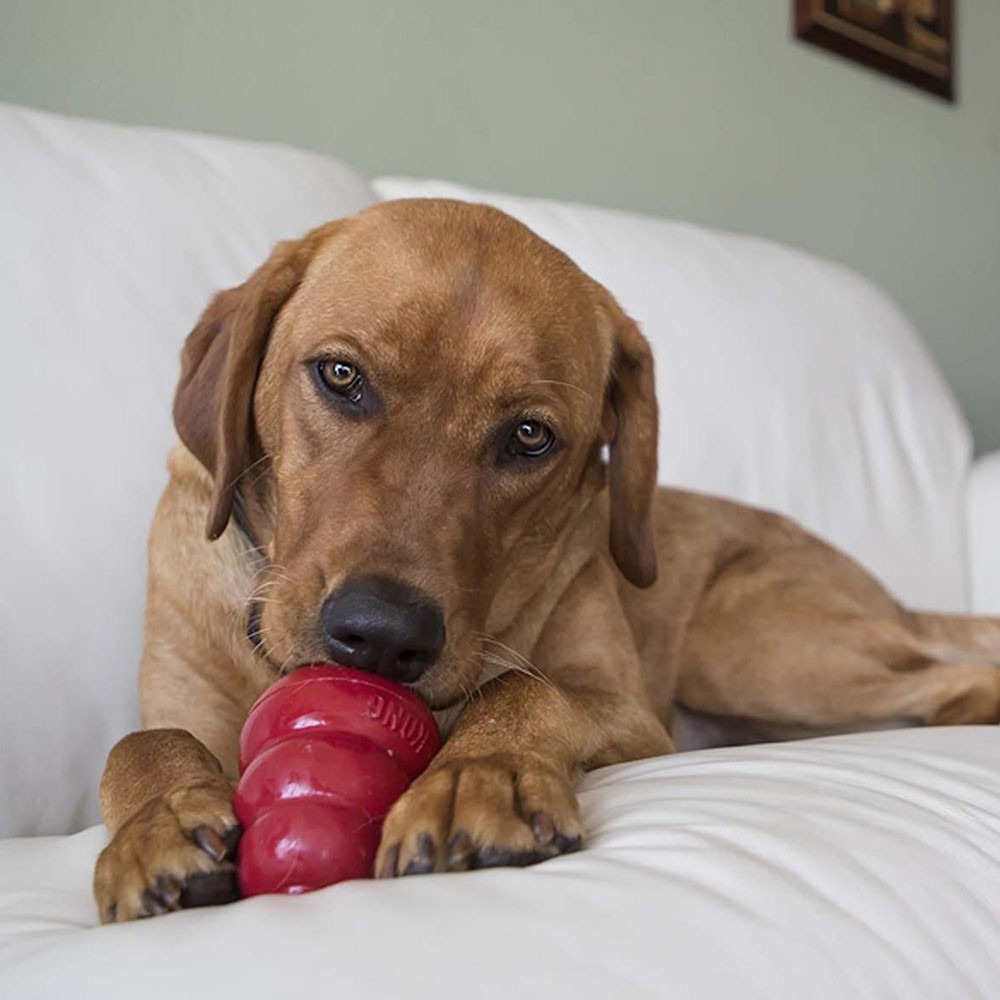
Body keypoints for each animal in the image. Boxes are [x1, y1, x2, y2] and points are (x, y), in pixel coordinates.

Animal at [94, 199, 1000, 924]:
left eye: (529, 435)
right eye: (342, 375)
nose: (382, 634)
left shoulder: (631, 711)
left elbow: (522, 687)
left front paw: (480, 774)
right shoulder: (187, 708)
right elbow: (145, 739)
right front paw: (157, 822)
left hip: (748, 645)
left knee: (946, 674)